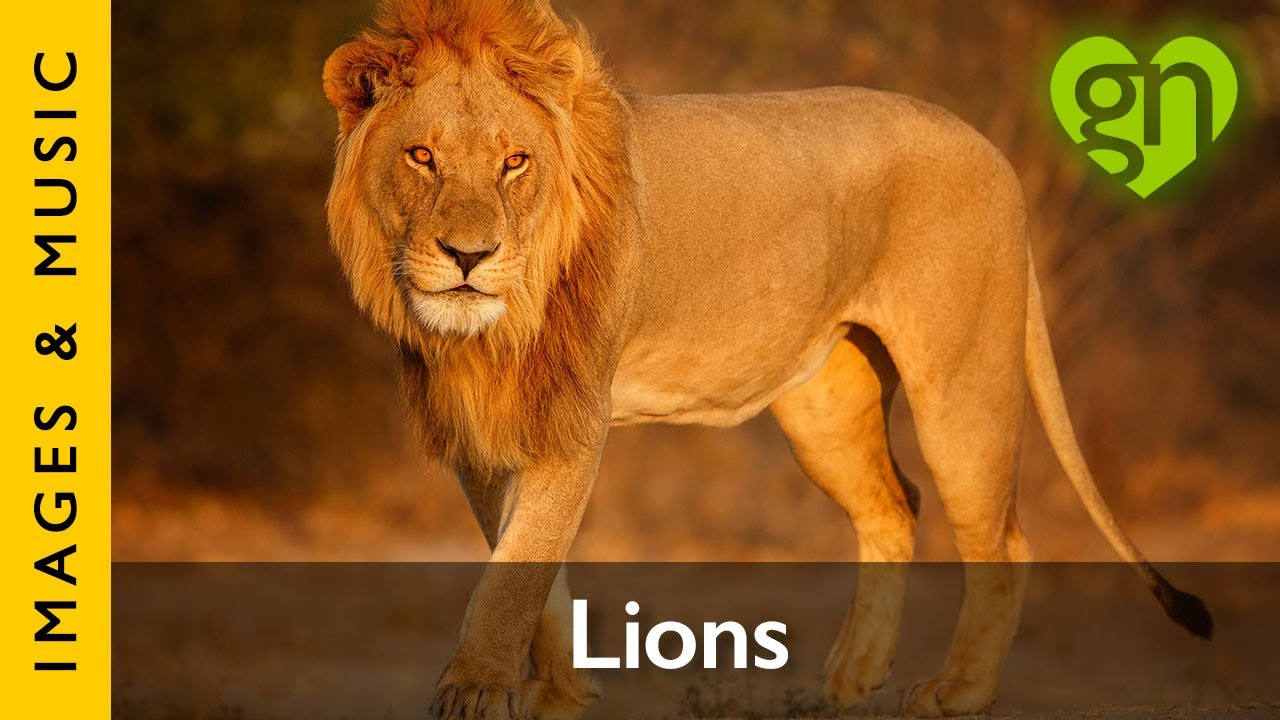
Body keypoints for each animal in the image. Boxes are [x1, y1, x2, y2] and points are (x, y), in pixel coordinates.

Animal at [321, 1, 1213, 717]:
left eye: (515, 161)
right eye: (422, 157)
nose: (469, 256)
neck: (490, 335)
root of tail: (993, 151)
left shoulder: (573, 415)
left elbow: (516, 569)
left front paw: (477, 689)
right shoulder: (480, 426)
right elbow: (526, 568)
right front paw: (562, 693)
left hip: (962, 381)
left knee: (1002, 539)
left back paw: (959, 692)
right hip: (825, 403)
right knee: (895, 505)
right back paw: (852, 676)